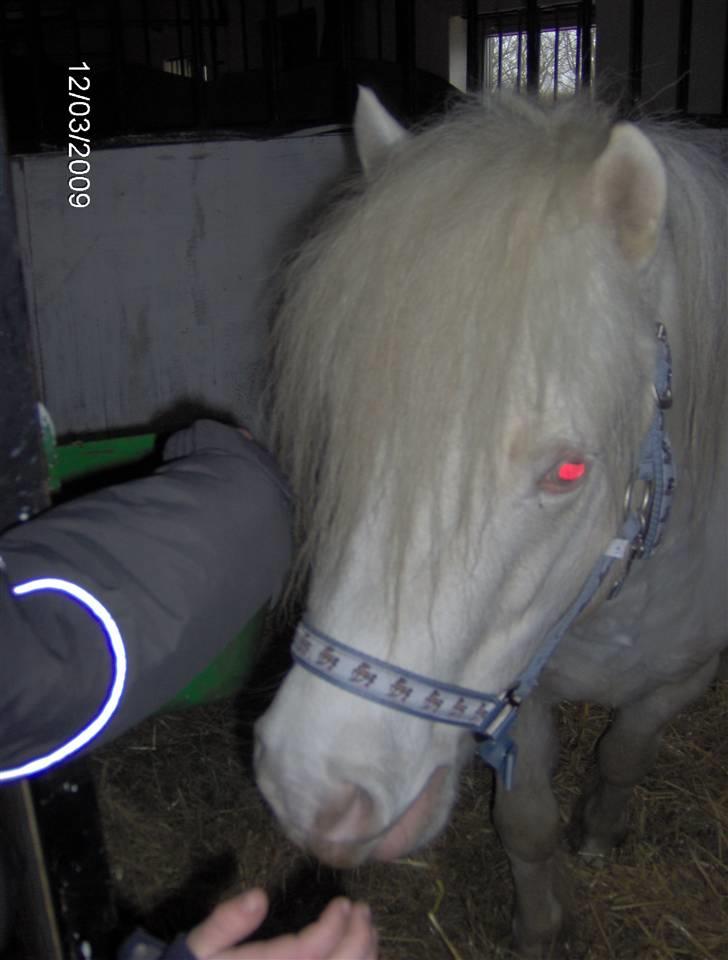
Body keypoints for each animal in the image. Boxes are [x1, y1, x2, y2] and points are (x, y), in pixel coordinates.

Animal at [253, 86, 724, 956]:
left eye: (567, 471)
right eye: (349, 432)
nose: (311, 787)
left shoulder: (685, 677)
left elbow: (627, 750)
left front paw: (600, 830)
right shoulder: (514, 685)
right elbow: (527, 822)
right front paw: (541, 924)